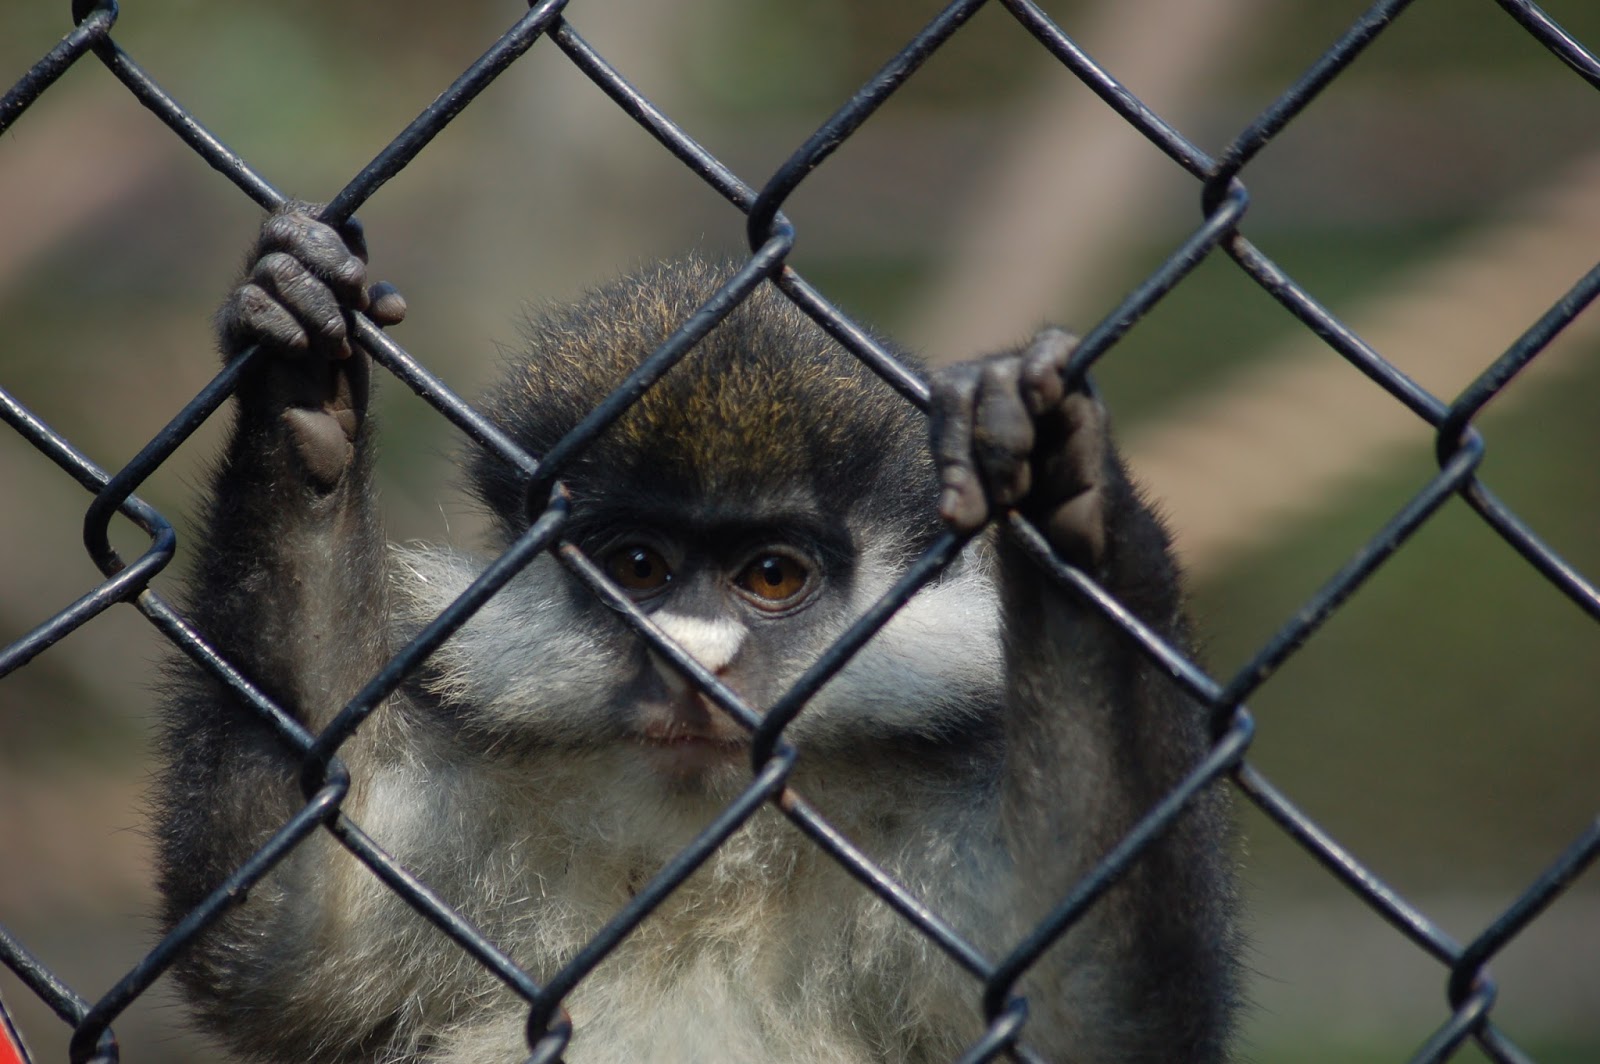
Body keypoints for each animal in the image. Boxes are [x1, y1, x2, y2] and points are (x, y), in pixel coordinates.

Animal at [154, 207, 1237, 1063]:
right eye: (639, 566)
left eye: (771, 575)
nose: (692, 660)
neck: (710, 859)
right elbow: (285, 949)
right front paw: (301, 375)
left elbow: (1092, 1012)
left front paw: (1070, 502)